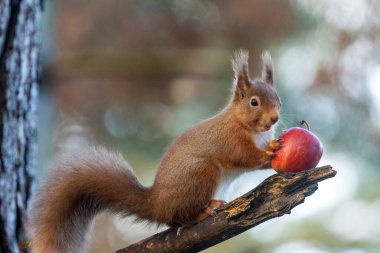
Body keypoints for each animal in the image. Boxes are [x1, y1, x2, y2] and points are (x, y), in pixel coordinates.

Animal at [27, 50, 282, 253]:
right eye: (254, 102)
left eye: (278, 100)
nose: (275, 119)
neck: (246, 125)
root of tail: (157, 203)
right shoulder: (229, 138)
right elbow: (242, 155)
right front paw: (268, 151)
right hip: (201, 173)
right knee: (180, 218)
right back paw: (204, 211)